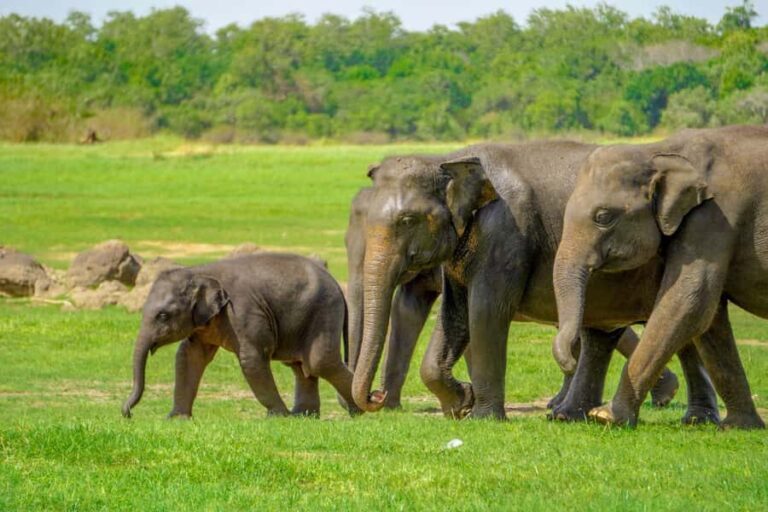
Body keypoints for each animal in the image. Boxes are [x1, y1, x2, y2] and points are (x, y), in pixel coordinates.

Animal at [122, 253, 360, 419]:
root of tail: (337, 284)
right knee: (300, 366)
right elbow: (188, 357)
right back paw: (303, 416)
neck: (199, 271)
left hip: (323, 312)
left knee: (319, 362)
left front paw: (278, 417)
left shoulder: (243, 312)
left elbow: (251, 359)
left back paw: (361, 410)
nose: (127, 414)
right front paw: (176, 419)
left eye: (163, 315)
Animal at [350, 141, 716, 422]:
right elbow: (455, 314)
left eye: (407, 220)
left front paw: (482, 418)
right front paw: (461, 403)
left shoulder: (505, 231)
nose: (376, 396)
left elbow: (485, 311)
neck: (451, 157)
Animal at [552, 124, 768, 429]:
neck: (658, 152)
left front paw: (605, 416)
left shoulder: (714, 216)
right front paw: (739, 427)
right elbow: (710, 315)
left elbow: (688, 301)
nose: (570, 359)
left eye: (603, 217)